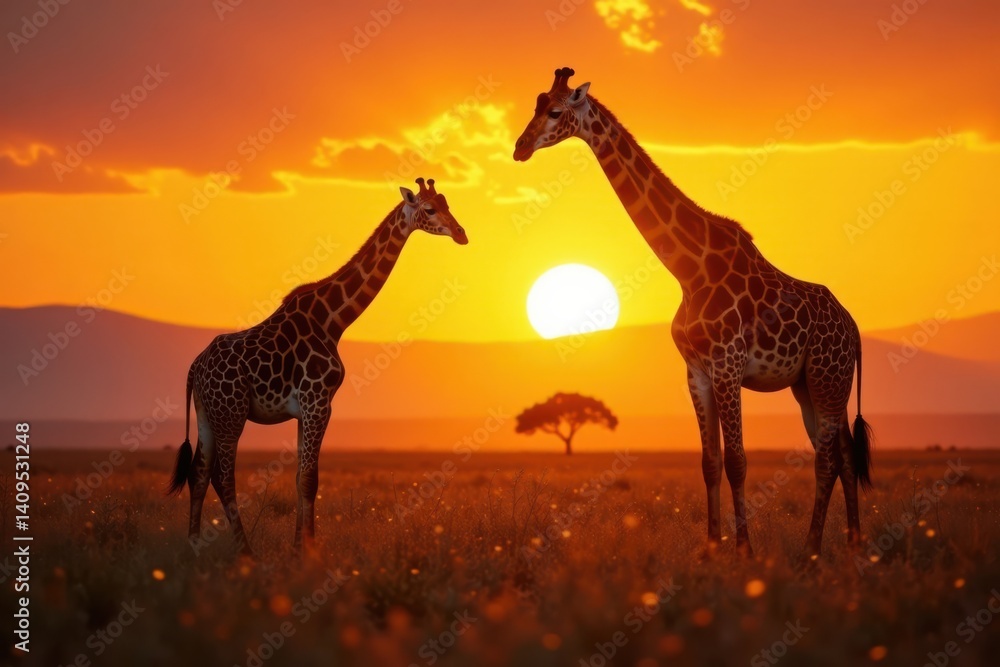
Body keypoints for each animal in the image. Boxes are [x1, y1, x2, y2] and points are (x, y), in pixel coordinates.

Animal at [167, 178, 468, 555]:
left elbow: (300, 476)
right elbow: (311, 478)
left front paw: (301, 545)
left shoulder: (306, 408)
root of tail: (195, 367)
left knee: (199, 472)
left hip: (208, 414)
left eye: (447, 203)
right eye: (429, 209)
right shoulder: (318, 401)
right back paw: (245, 549)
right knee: (222, 477)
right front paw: (306, 551)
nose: (461, 233)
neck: (333, 320)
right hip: (231, 413)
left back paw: (194, 545)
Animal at [513, 68, 873, 556]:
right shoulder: (696, 370)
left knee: (828, 457)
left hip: (827, 377)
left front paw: (744, 549)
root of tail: (853, 329)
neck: (689, 270)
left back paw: (813, 547)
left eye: (553, 111)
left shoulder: (727, 364)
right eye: (535, 104)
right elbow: (709, 461)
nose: (519, 147)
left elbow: (737, 460)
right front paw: (711, 547)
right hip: (809, 385)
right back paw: (851, 543)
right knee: (842, 453)